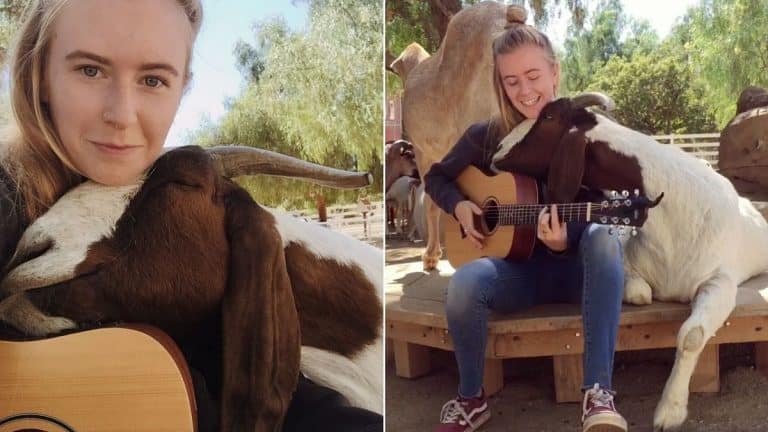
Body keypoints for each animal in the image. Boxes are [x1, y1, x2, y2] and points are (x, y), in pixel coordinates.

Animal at [492, 94, 768, 428]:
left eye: (548, 117)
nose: (497, 149)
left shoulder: (720, 280)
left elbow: (692, 335)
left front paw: (669, 411)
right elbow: (640, 292)